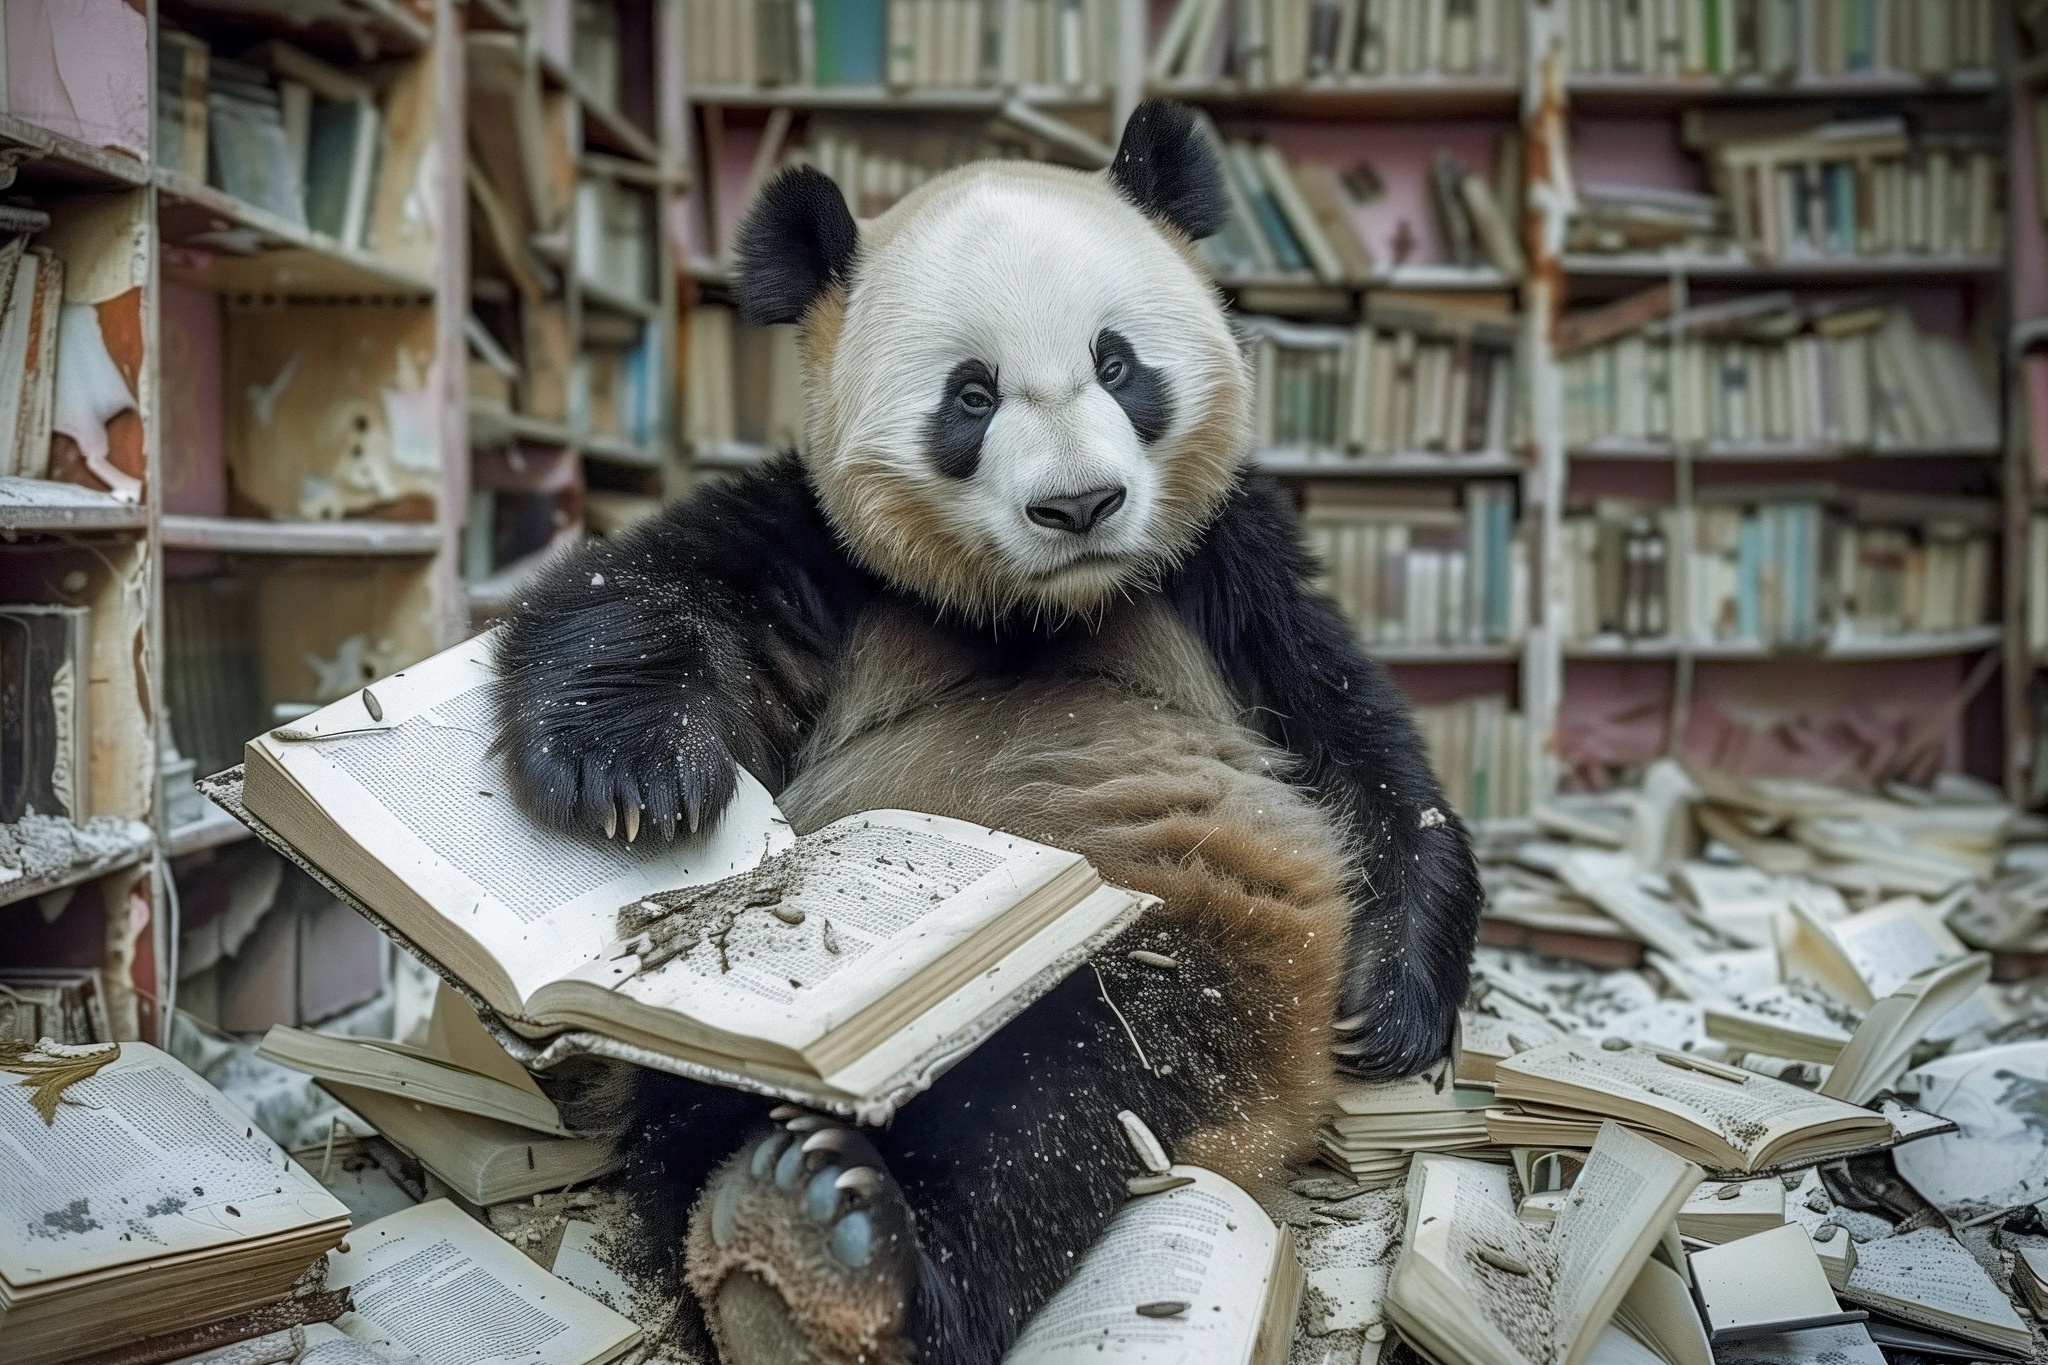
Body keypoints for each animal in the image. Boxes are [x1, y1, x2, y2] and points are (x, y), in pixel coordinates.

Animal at [492, 101, 1482, 1365]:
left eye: (1117, 363)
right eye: (971, 397)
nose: (1079, 506)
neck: (1036, 608)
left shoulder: (1223, 572)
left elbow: (1355, 743)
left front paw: (1391, 1003)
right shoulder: (833, 560)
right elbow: (649, 580)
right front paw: (628, 775)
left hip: (1178, 959)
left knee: (1058, 1104)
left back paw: (837, 1249)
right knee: (694, 1104)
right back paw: (779, 1221)